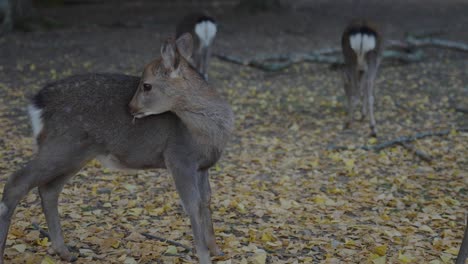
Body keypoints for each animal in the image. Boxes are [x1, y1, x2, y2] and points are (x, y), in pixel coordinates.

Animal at [0, 33, 234, 264]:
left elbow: (206, 200)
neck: (207, 132)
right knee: (16, 181)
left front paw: (217, 251)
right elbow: (192, 205)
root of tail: (38, 104)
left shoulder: (203, 166)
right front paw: (204, 256)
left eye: (146, 85)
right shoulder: (178, 157)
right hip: (61, 144)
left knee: (49, 189)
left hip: (76, 153)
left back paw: (65, 252)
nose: (130, 107)